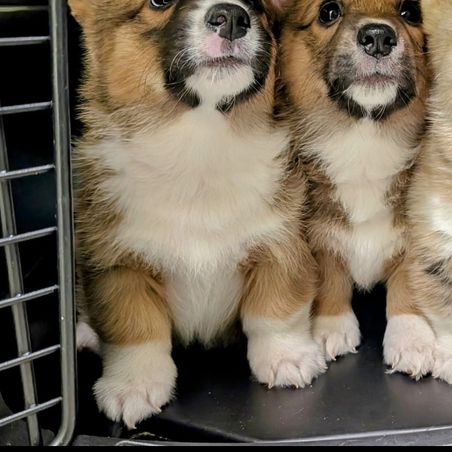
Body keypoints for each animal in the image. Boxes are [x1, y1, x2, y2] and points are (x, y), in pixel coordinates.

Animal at [68, 0, 325, 429]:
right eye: (158, 3)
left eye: (258, 6)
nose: (234, 17)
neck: (200, 144)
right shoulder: (118, 264)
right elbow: (135, 328)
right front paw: (133, 386)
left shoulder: (282, 244)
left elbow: (276, 312)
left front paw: (287, 358)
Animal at [277, 0, 430, 362]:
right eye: (328, 12)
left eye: (411, 12)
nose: (378, 37)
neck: (364, 143)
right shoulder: (320, 237)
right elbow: (331, 278)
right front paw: (331, 327)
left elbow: (408, 284)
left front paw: (411, 339)